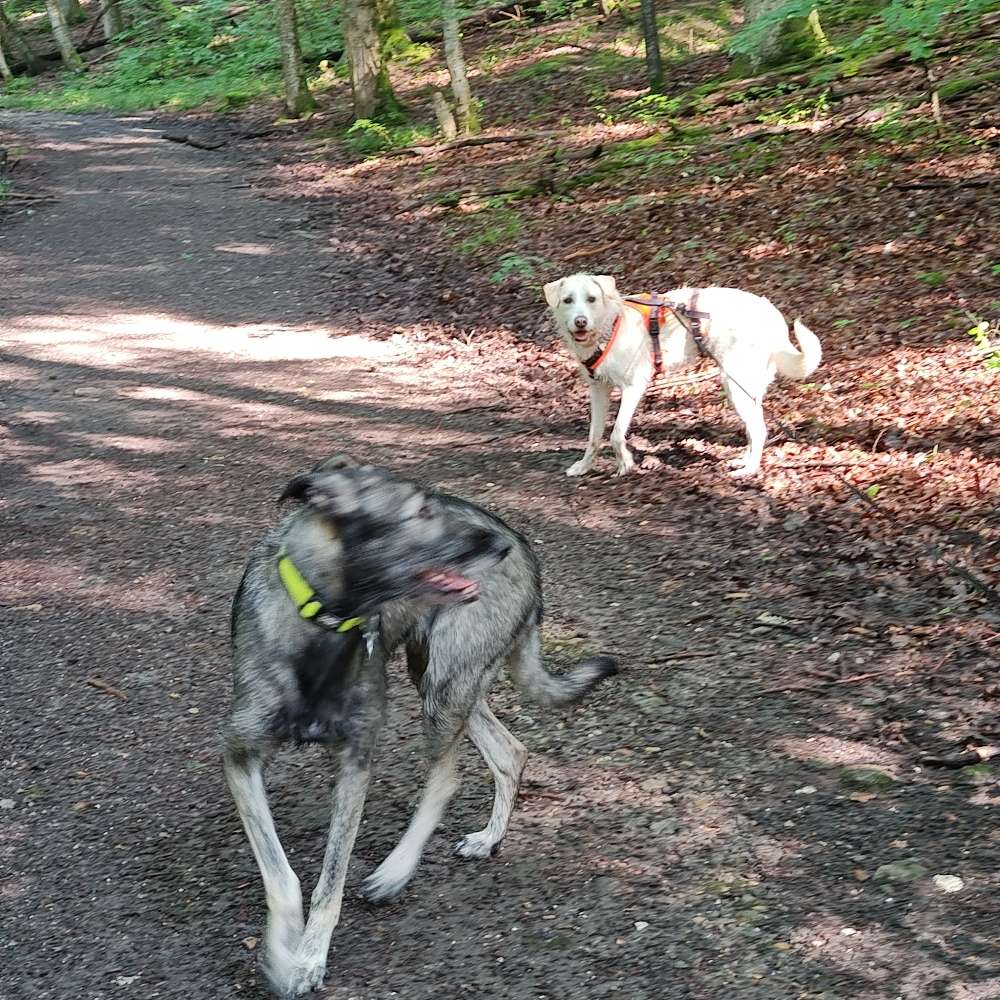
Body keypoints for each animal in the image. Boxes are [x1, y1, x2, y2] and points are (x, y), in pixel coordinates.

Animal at [225, 458, 616, 996]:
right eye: (420, 512)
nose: (497, 545)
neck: (323, 624)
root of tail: (527, 550)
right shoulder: (241, 755)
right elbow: (281, 875)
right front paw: (285, 952)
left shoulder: (355, 763)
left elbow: (330, 882)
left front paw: (308, 958)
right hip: (438, 678)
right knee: (510, 752)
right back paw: (488, 839)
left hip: (444, 688)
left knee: (448, 776)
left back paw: (396, 870)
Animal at [548, 274, 820, 476]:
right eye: (568, 300)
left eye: (591, 299)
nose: (580, 321)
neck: (610, 325)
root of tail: (771, 312)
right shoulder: (598, 390)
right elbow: (594, 436)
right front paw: (583, 467)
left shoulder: (634, 387)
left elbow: (615, 433)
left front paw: (625, 464)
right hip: (744, 387)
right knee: (754, 428)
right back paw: (743, 461)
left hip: (735, 383)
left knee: (760, 430)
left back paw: (749, 470)